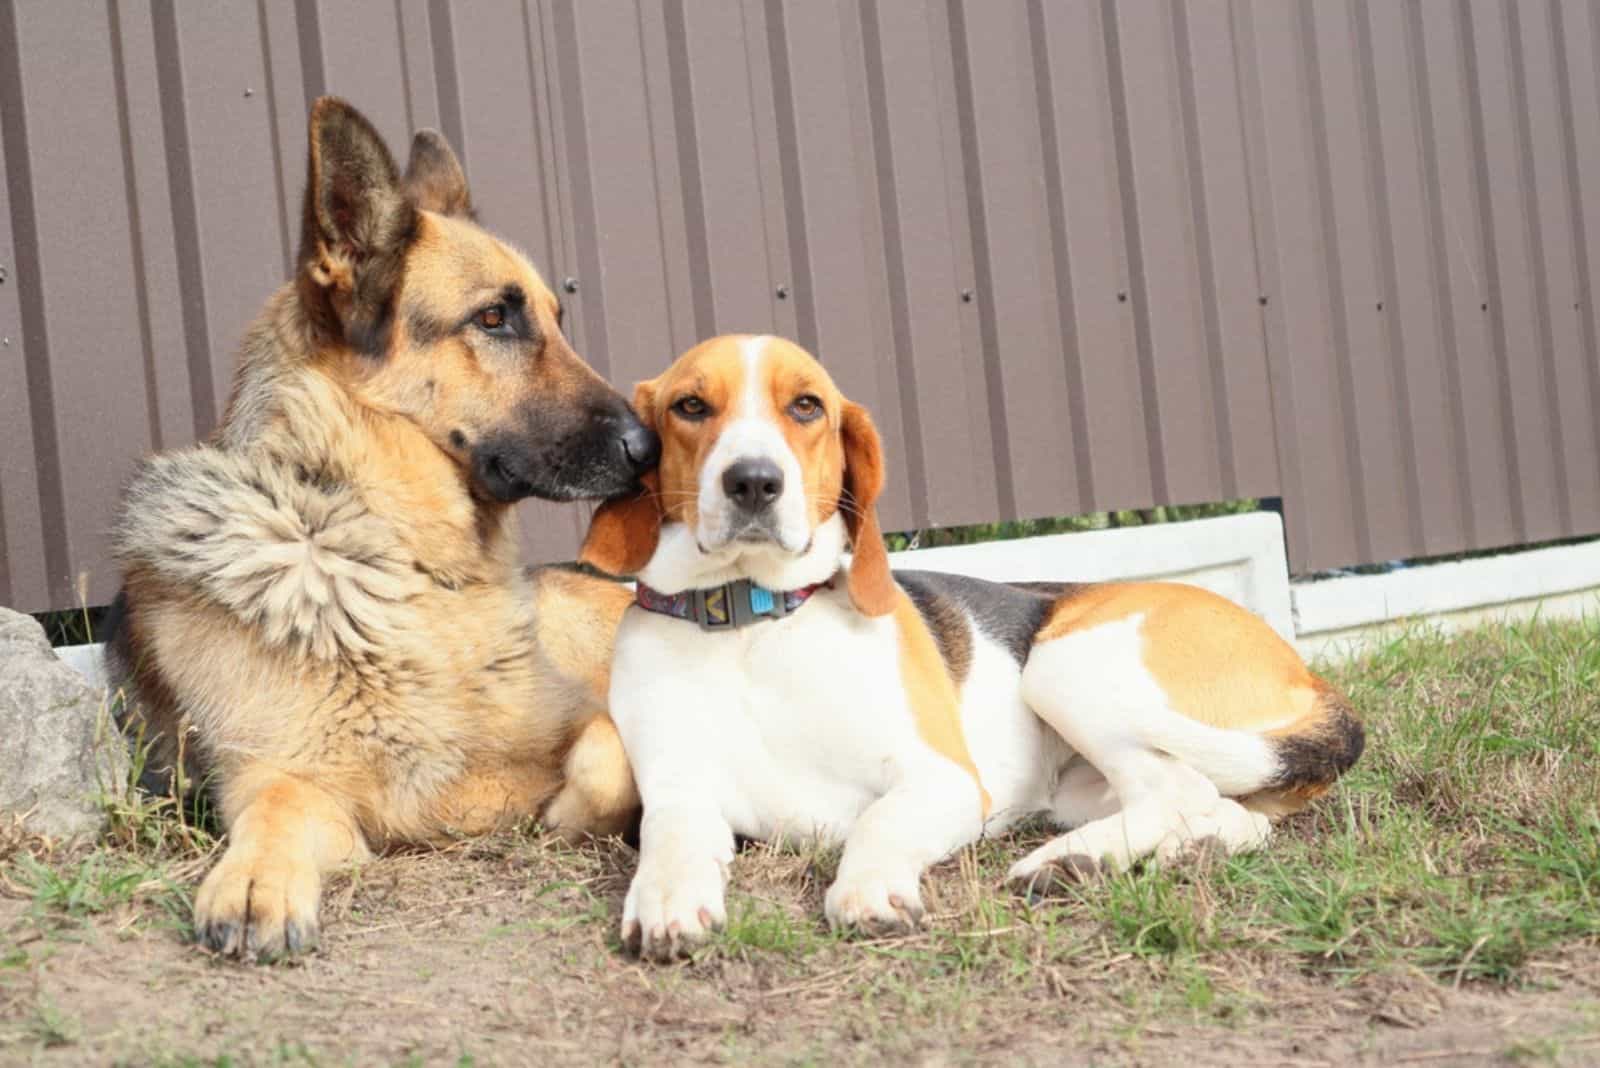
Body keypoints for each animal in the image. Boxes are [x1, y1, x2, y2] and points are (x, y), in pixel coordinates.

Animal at [111, 99, 649, 965]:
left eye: (556, 320)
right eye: (494, 319)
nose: (651, 447)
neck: (400, 562)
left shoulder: (580, 718)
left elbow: (609, 751)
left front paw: (568, 814)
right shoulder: (276, 774)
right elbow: (276, 807)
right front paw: (256, 881)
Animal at [585, 334, 1363, 959]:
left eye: (806, 406)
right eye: (690, 406)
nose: (752, 481)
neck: (753, 624)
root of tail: (1306, 677)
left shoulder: (942, 779)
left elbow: (877, 823)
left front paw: (869, 888)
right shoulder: (678, 789)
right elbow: (671, 838)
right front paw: (666, 900)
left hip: (1061, 665)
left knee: (1178, 789)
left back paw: (1072, 861)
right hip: (1088, 779)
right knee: (1226, 815)